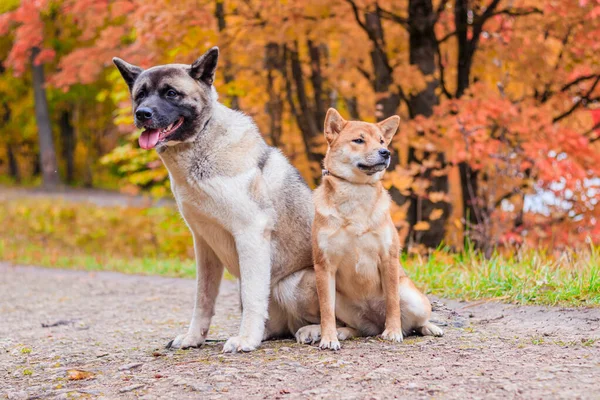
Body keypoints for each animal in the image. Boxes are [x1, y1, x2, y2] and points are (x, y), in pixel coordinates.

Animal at [112, 47, 318, 354]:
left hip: (291, 284)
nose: (142, 114)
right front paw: (194, 337)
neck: (200, 144)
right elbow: (203, 299)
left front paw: (246, 339)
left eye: (171, 93)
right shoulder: (204, 244)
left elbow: (252, 296)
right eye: (140, 94)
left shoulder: (251, 234)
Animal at [296, 108, 442, 350]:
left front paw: (393, 332)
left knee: (415, 322)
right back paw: (344, 332)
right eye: (359, 140)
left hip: (413, 298)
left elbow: (392, 302)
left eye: (381, 140)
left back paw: (427, 327)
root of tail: (375, 322)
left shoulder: (387, 258)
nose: (386, 152)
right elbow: (326, 311)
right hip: (341, 301)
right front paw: (329, 337)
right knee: (356, 327)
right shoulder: (324, 266)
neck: (356, 192)